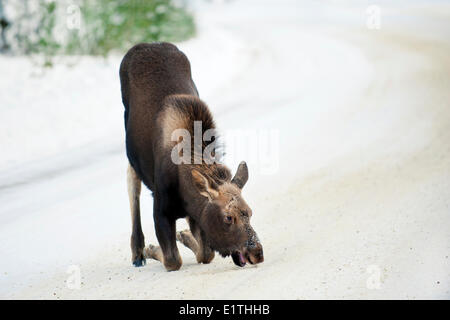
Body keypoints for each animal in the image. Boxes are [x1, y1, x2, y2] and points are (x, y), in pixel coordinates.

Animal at [119, 42, 264, 272]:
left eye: (249, 212)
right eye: (228, 217)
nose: (257, 253)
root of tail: (145, 45)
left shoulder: (197, 214)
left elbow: (206, 253)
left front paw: (185, 236)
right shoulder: (160, 210)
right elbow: (173, 259)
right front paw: (152, 249)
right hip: (130, 149)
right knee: (132, 183)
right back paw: (138, 251)